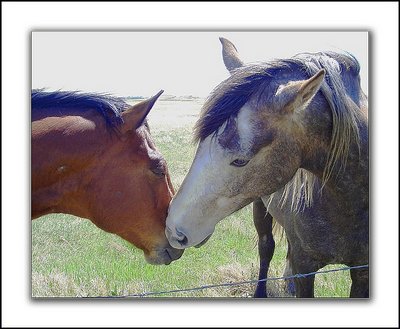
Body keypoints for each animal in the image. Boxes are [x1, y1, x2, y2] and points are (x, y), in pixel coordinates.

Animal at [166, 37, 368, 296]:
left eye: (240, 160)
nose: (173, 231)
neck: (351, 203)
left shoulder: (362, 271)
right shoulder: (305, 268)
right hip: (260, 209)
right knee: (266, 248)